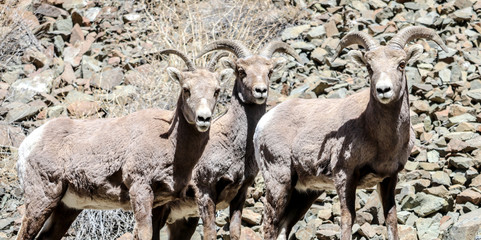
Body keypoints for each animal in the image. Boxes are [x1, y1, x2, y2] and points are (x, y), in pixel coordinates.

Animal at [15, 49, 232, 240]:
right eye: (186, 89)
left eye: (216, 91)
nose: (204, 118)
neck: (172, 146)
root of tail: (28, 144)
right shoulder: (140, 189)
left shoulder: (159, 204)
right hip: (42, 200)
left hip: (66, 208)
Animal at [150, 40, 300, 239]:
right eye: (241, 71)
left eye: (270, 71)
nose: (260, 91)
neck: (235, 148)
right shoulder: (205, 193)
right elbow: (210, 233)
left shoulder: (239, 194)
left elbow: (235, 232)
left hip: (182, 221)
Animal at [253, 26, 448, 240]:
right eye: (369, 67)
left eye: (402, 64)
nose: (383, 90)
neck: (381, 140)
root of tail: (264, 121)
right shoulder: (344, 176)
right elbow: (348, 219)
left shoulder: (389, 178)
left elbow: (391, 219)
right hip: (279, 183)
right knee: (269, 225)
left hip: (305, 193)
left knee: (283, 228)